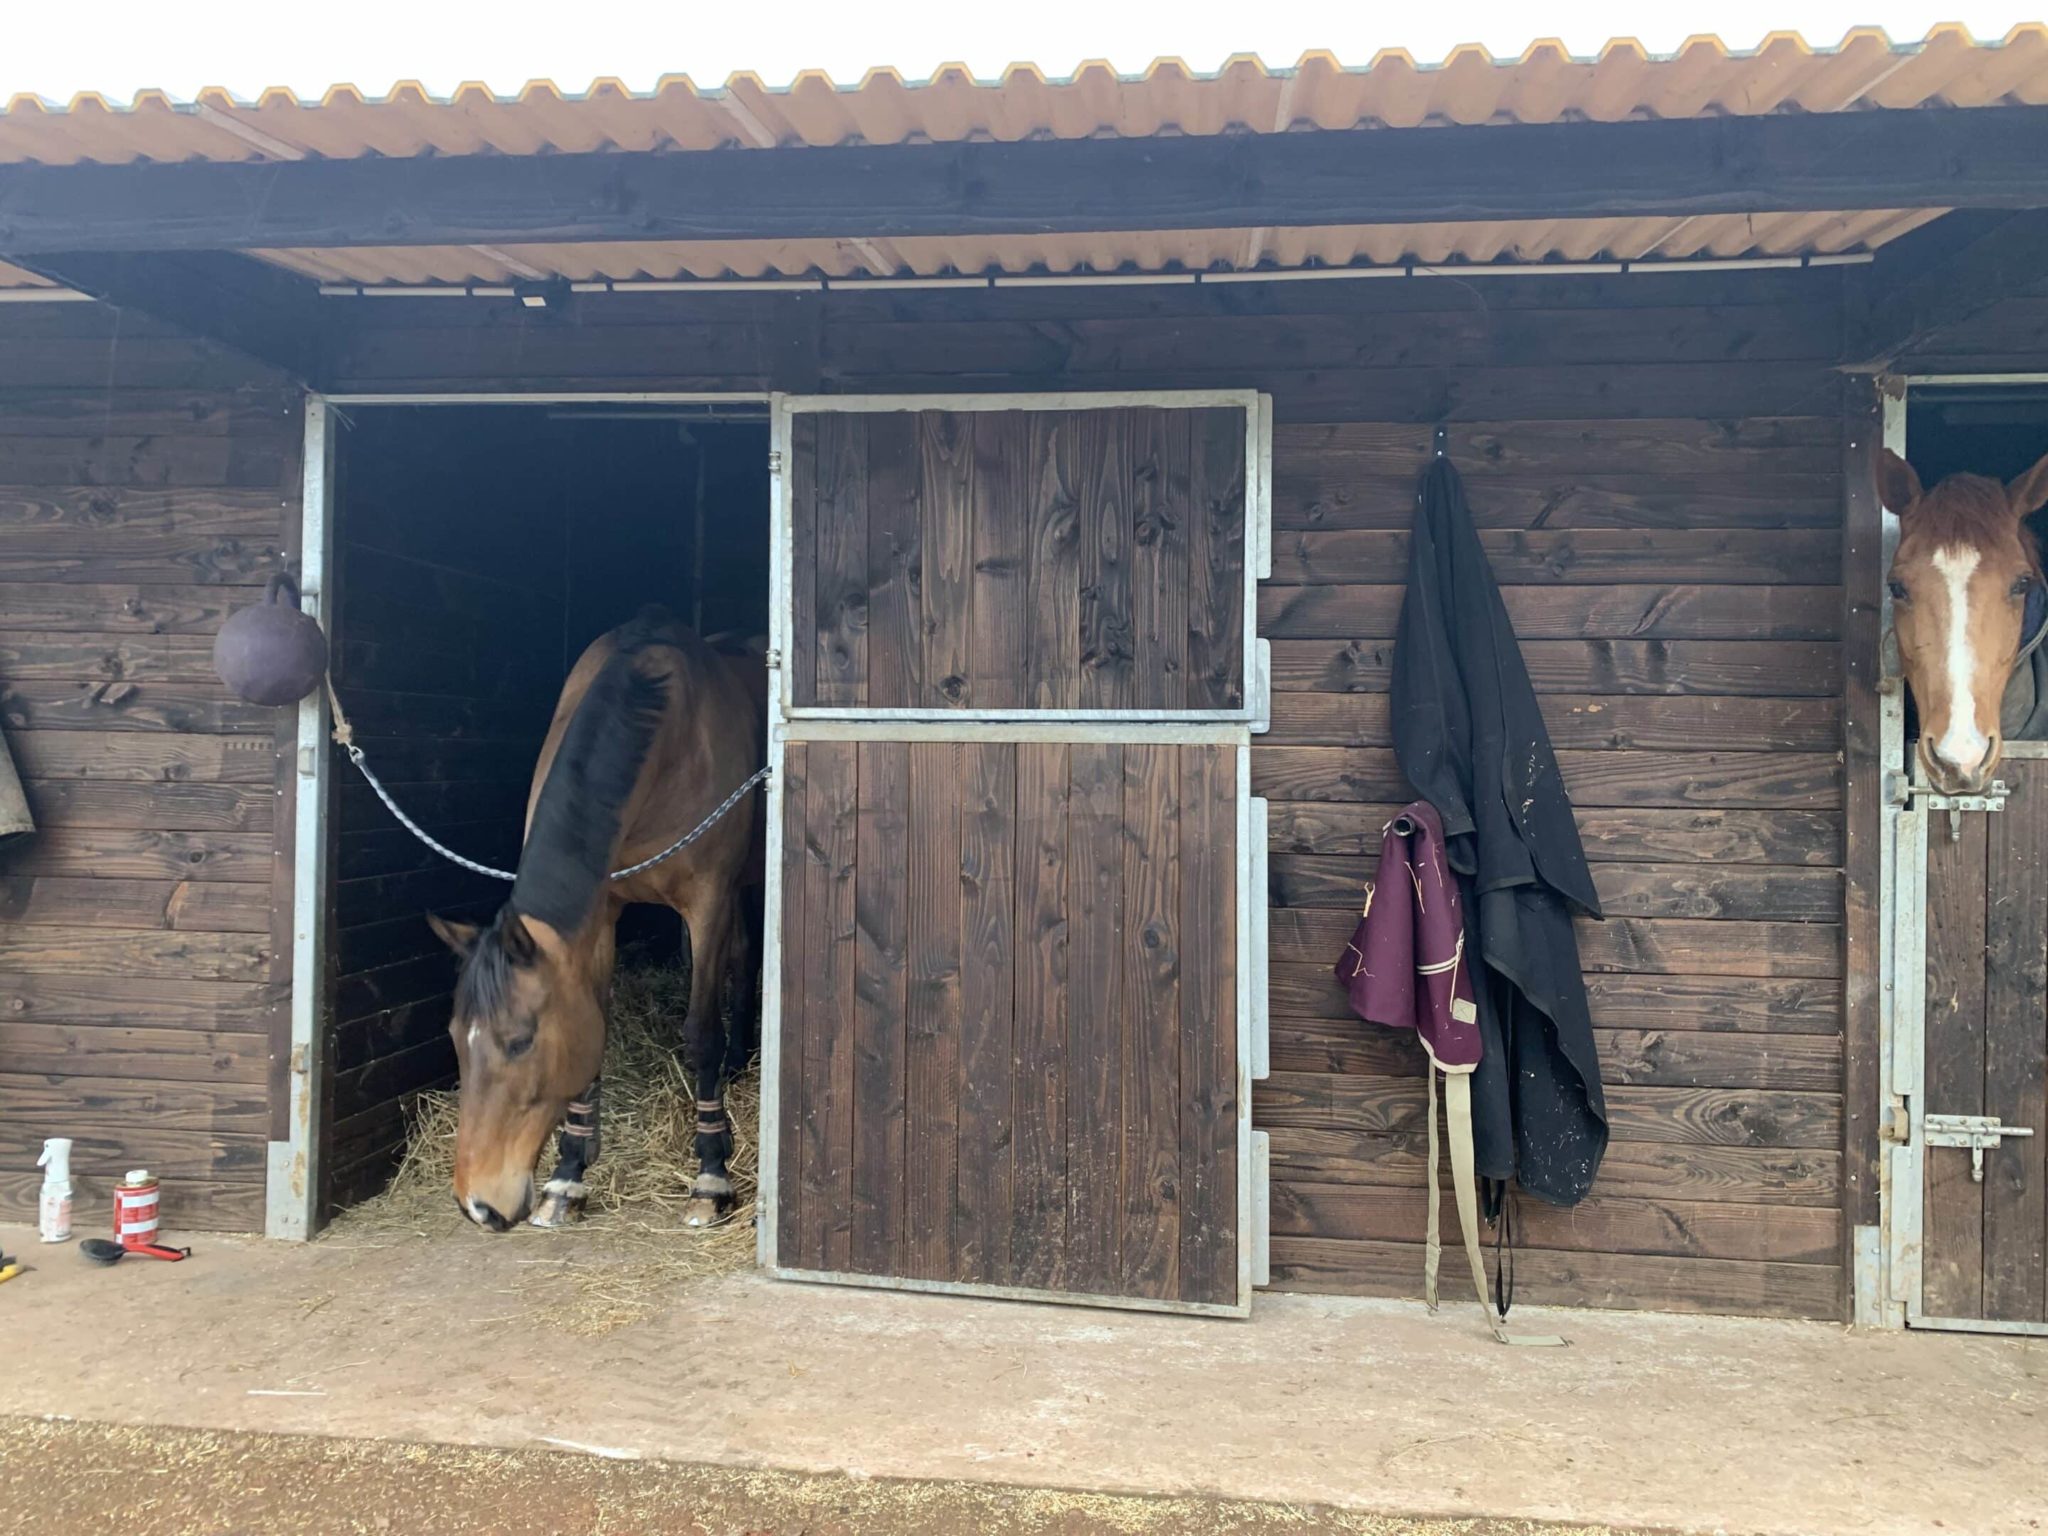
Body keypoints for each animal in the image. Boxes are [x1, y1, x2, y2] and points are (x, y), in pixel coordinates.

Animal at [427, 609, 765, 1232]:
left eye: (520, 1041)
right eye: (457, 1039)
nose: (478, 1205)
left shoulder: (708, 900)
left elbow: (701, 1033)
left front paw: (711, 1177)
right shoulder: (600, 911)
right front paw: (567, 1179)